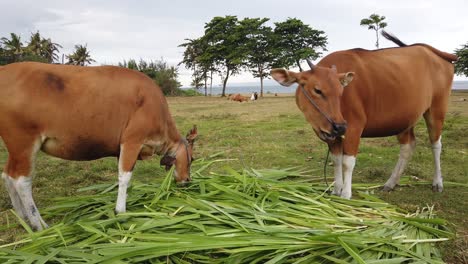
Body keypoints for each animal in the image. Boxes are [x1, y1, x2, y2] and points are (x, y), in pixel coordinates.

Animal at [0, 61, 197, 229]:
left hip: (15, 148)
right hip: (24, 142)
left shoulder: (120, 149)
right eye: (192, 159)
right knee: (21, 181)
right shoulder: (132, 141)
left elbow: (125, 180)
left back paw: (23, 219)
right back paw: (39, 225)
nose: (187, 181)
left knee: (8, 175)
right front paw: (121, 211)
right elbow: (125, 178)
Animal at [270, 31, 458, 199]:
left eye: (341, 91)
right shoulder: (332, 133)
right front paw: (336, 190)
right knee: (408, 146)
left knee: (436, 144)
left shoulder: (354, 126)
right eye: (317, 90)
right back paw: (391, 183)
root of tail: (433, 52)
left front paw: (346, 194)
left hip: (437, 109)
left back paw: (437, 182)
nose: (339, 126)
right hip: (405, 118)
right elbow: (336, 160)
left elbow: (348, 162)